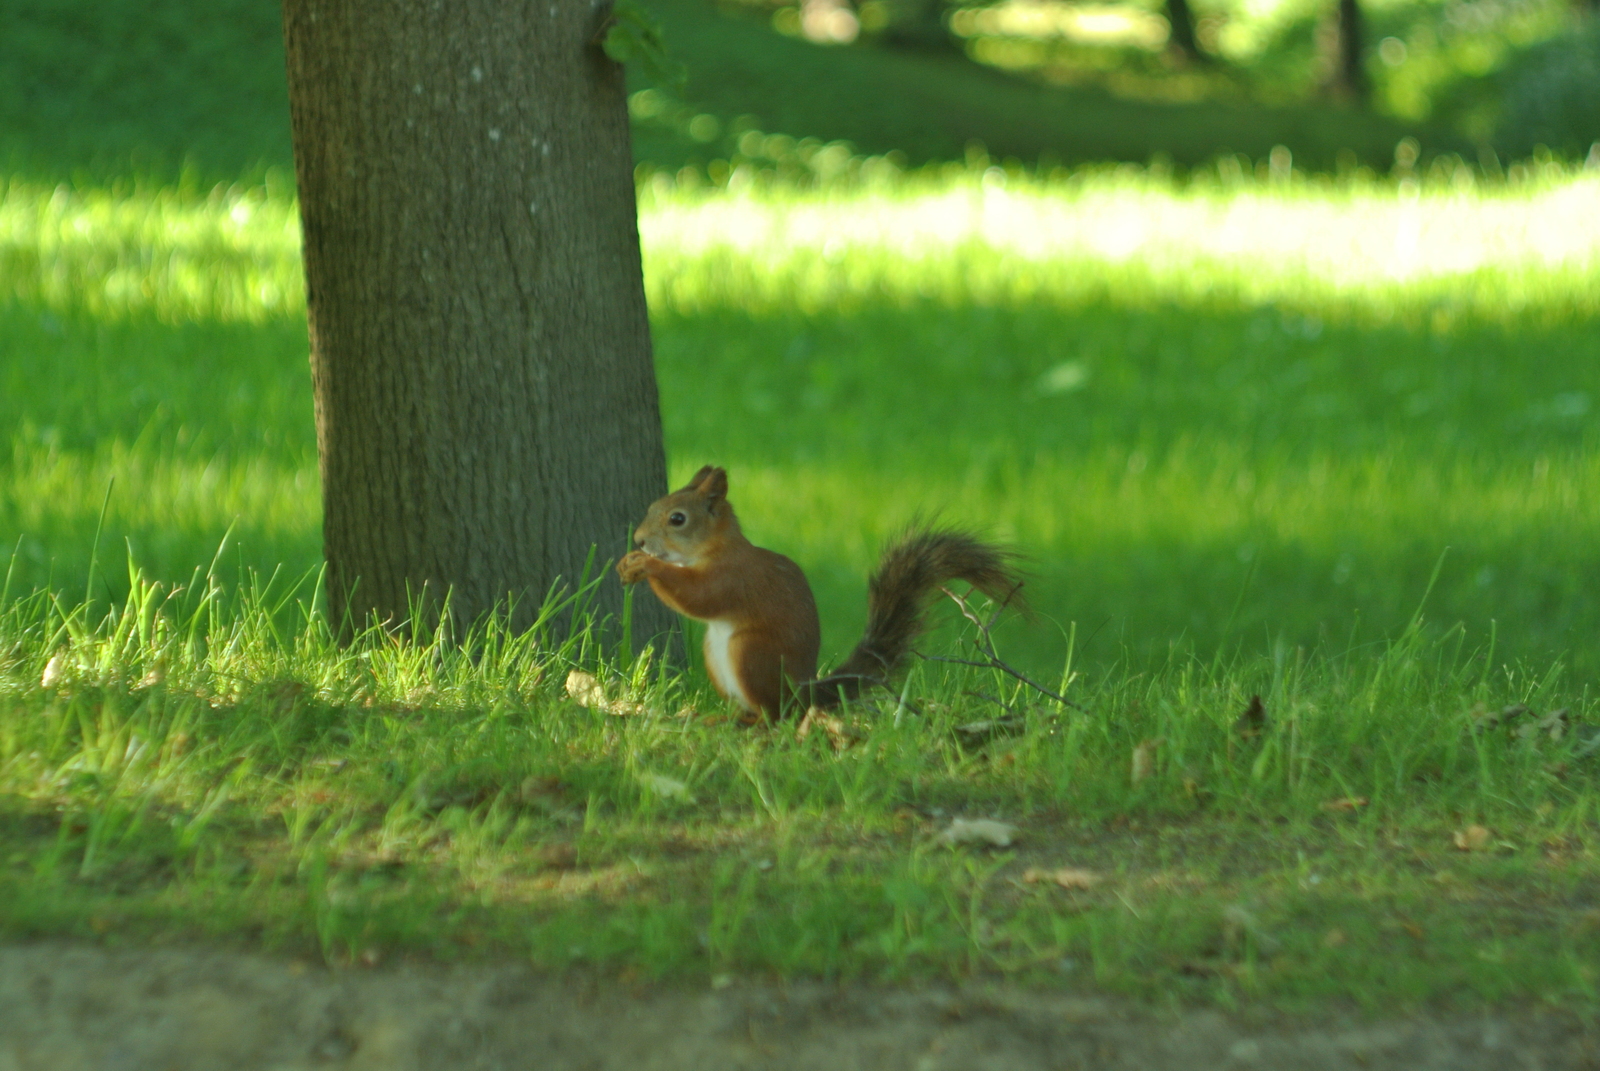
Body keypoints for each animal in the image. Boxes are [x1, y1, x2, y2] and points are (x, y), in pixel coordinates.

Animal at [617, 461, 1017, 717]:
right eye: (653, 506)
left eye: (677, 519)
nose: (639, 540)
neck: (716, 547)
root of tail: (803, 694)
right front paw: (630, 561)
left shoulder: (735, 577)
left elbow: (700, 598)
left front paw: (647, 566)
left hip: (751, 653)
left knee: (775, 716)